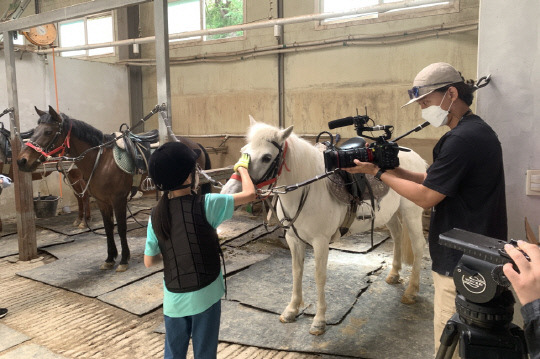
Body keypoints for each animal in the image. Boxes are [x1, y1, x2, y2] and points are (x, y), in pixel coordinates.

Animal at [16, 107, 211, 272]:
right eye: (34, 131)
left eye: (48, 132)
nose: (22, 161)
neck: (101, 160)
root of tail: (194, 144)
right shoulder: (102, 201)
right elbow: (109, 228)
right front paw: (110, 259)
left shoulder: (119, 199)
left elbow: (122, 228)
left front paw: (124, 260)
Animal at [221, 116, 428, 336]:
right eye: (243, 150)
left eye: (267, 157)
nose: (230, 191)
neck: (308, 189)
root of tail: (416, 158)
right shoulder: (293, 239)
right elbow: (297, 272)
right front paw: (291, 310)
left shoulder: (320, 242)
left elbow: (319, 277)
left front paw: (319, 321)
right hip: (391, 214)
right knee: (397, 236)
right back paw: (394, 274)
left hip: (411, 212)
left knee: (418, 245)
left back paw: (411, 291)